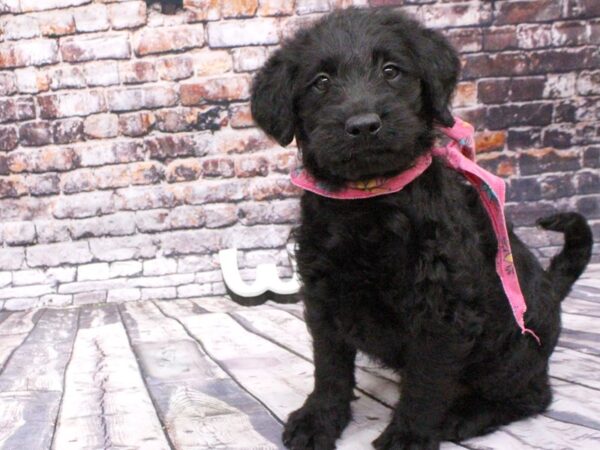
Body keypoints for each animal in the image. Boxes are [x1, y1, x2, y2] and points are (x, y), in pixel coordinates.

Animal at [250, 7, 596, 450]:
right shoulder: (323, 295)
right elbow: (329, 368)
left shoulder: (441, 311)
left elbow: (426, 382)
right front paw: (318, 420)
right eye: (321, 82)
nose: (364, 125)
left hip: (511, 349)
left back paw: (466, 415)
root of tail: (553, 290)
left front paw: (407, 436)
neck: (371, 200)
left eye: (391, 70)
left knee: (533, 394)